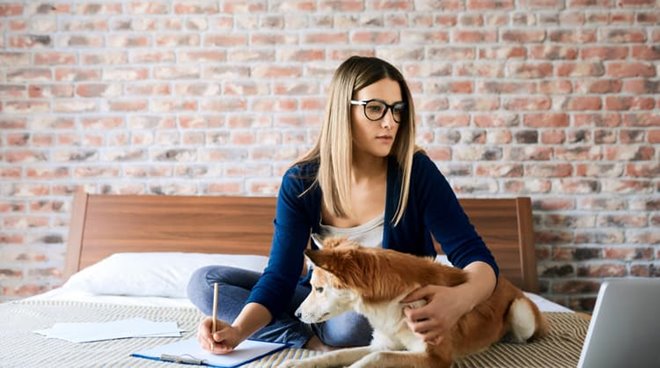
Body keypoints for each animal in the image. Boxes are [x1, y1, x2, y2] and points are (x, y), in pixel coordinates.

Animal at [282, 237, 548, 366]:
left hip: (520, 312)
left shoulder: (435, 357)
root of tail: (504, 280)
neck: (393, 305)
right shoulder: (381, 343)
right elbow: (335, 355)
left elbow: (375, 359)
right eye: (312, 287)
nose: (297, 315)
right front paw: (297, 364)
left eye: (319, 289)